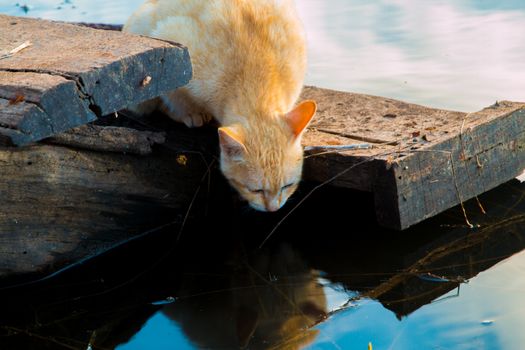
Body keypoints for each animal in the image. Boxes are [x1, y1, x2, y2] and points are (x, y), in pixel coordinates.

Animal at [123, 0, 318, 212]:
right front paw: (189, 112)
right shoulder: (173, 56)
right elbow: (175, 95)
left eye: (287, 186)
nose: (273, 209)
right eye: (256, 190)